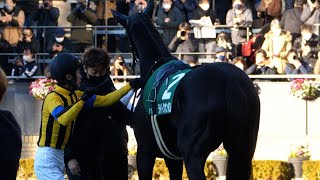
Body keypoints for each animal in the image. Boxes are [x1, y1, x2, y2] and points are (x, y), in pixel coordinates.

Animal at [112, 3, 260, 179]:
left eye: (126, 35)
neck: (156, 64)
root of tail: (230, 82)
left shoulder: (145, 152)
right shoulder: (173, 158)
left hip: (192, 153)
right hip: (242, 150)